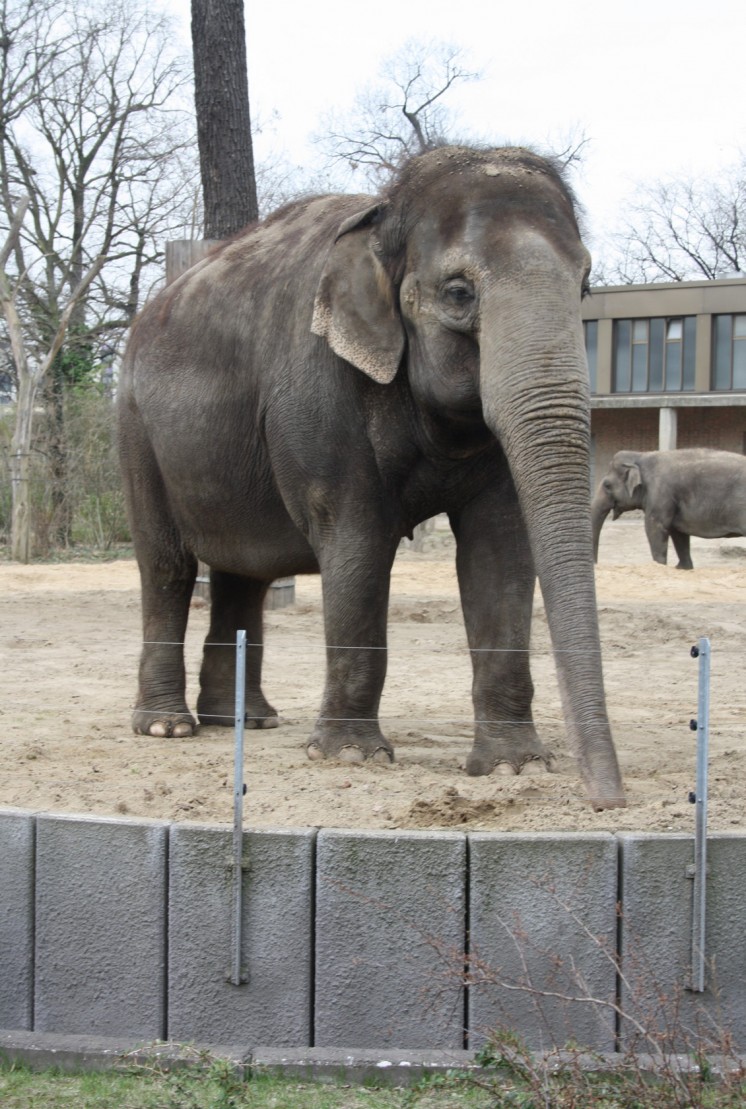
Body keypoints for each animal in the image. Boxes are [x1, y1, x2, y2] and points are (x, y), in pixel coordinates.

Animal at [118, 143, 620, 811]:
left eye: (585, 285)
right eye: (458, 293)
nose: (608, 800)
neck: (385, 217)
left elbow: (500, 551)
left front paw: (514, 768)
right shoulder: (319, 391)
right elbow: (355, 538)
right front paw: (351, 756)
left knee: (243, 576)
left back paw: (247, 720)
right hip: (135, 429)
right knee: (167, 567)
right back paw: (166, 727)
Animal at [594, 445, 744, 567]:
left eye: (607, 486)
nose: (596, 564)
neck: (641, 455)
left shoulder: (660, 493)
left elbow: (655, 527)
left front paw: (659, 565)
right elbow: (678, 532)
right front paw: (683, 568)